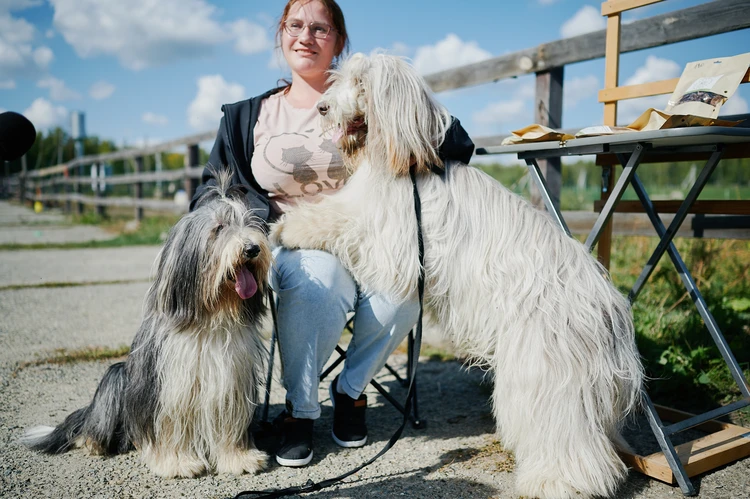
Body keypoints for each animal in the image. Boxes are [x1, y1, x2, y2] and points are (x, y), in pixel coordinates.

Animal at [21, 173, 276, 480]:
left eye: (252, 224)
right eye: (219, 228)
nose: (253, 248)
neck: (210, 320)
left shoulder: (232, 382)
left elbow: (229, 423)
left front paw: (239, 458)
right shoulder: (169, 388)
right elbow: (169, 427)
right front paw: (178, 462)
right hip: (118, 376)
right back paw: (93, 442)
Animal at [274, 52, 648, 498]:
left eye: (362, 84)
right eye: (341, 79)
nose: (322, 108)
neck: (404, 163)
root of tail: (613, 313)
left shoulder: (390, 238)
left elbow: (335, 220)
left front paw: (287, 227)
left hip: (544, 373)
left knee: (571, 440)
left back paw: (557, 481)